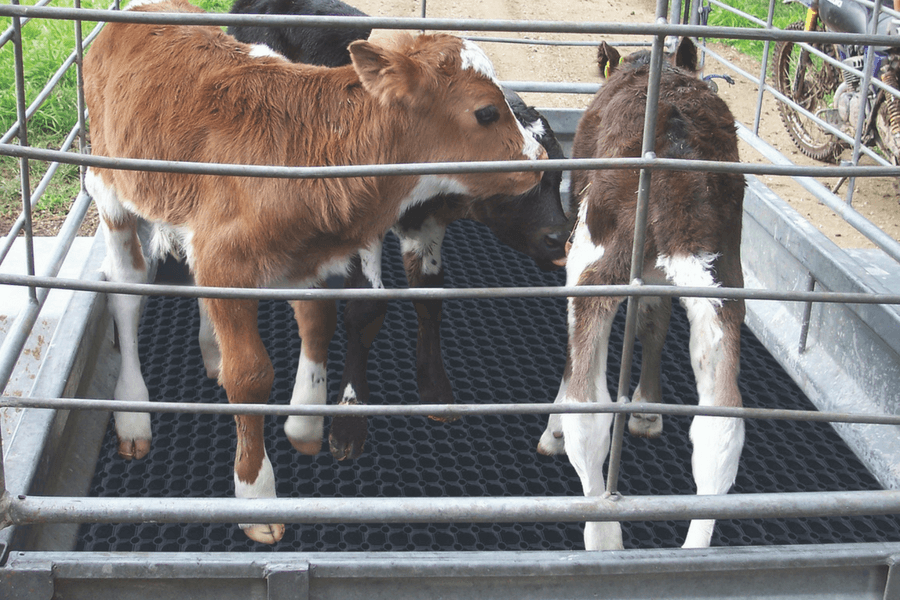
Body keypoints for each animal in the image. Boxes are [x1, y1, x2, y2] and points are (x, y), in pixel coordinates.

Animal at [224, 0, 571, 460]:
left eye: (559, 174)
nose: (560, 238)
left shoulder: (427, 224)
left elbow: (429, 295)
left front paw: (436, 390)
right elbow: (367, 308)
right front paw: (350, 415)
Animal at [536, 38, 746, 550]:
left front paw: (553, 430)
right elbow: (654, 321)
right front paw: (648, 408)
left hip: (593, 259)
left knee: (588, 413)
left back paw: (603, 536)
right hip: (724, 278)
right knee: (721, 424)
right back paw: (693, 551)